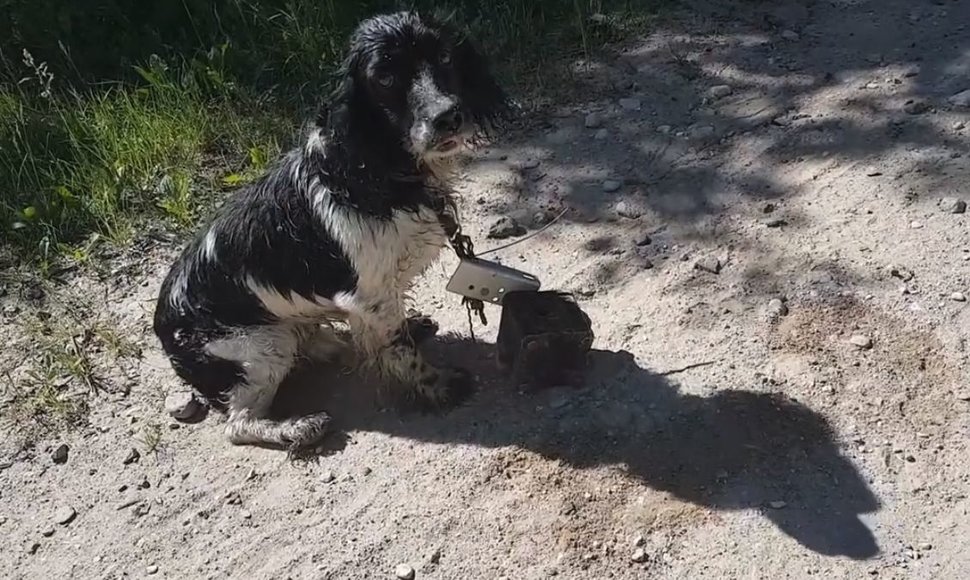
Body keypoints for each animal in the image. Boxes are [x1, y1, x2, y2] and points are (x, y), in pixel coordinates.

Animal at [153, 12, 506, 448]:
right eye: (384, 77)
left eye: (443, 56)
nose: (447, 117)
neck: (377, 169)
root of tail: (163, 328)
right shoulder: (370, 294)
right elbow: (400, 350)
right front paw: (436, 386)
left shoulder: (374, 298)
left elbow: (384, 335)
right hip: (260, 345)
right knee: (238, 425)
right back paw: (298, 427)